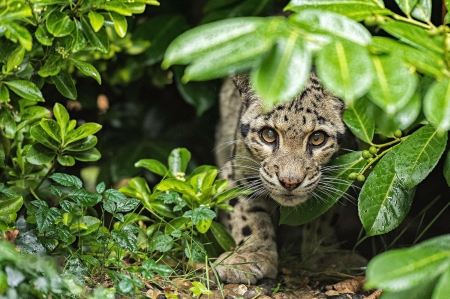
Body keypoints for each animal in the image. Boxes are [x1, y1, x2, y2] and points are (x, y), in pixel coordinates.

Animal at [214, 74, 344, 284]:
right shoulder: (237, 174)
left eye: (317, 138)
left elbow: (324, 219)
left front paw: (322, 256)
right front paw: (248, 257)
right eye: (268, 135)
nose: (290, 182)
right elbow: (248, 216)